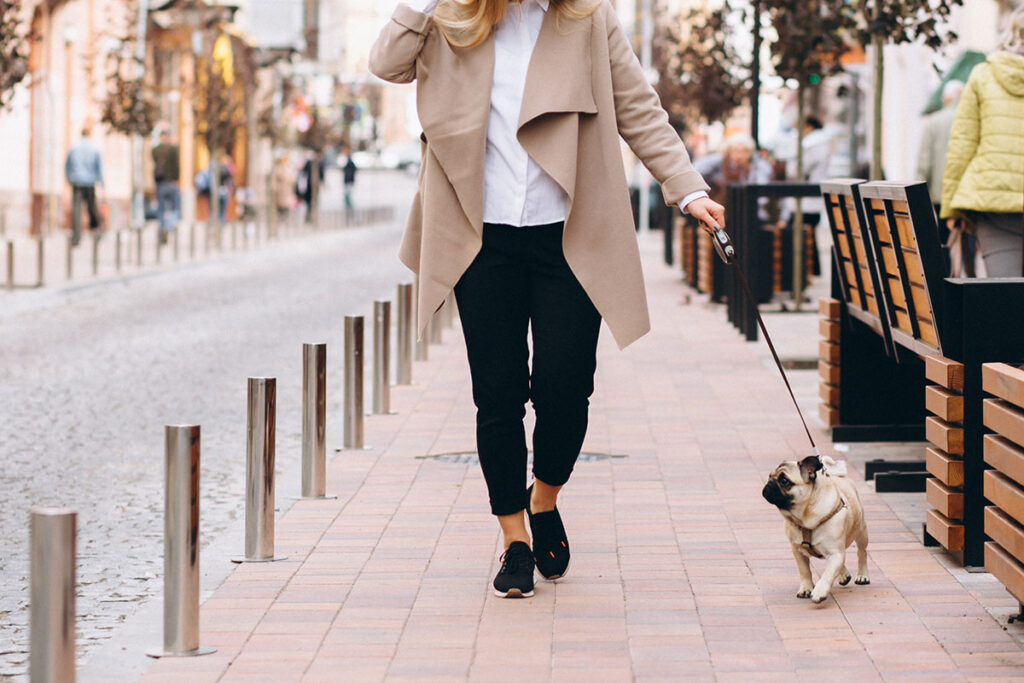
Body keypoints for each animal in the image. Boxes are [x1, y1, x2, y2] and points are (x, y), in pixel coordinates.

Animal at [761, 454, 872, 602]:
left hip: (861, 532)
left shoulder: (835, 552)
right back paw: (844, 575)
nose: (769, 483)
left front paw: (820, 591)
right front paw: (806, 589)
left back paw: (862, 575)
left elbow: (828, 573)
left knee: (862, 552)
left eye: (784, 480)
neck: (805, 518)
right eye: (770, 476)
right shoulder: (797, 551)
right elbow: (804, 571)